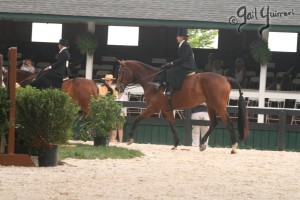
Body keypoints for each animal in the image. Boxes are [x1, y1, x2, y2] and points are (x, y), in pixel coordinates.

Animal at [115, 59, 248, 153]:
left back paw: (234, 147)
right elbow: (173, 125)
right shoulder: (167, 110)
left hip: (219, 106)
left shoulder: (153, 108)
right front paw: (175, 144)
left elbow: (137, 119)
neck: (153, 81)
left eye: (121, 72)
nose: (117, 88)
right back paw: (202, 144)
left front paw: (130, 139)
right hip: (210, 105)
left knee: (228, 123)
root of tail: (225, 78)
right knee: (214, 123)